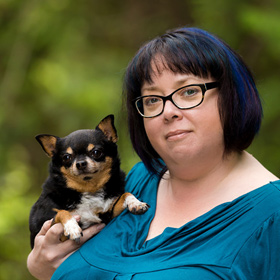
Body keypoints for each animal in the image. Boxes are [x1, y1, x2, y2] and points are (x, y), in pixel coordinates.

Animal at [29, 115, 150, 248]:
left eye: (96, 152)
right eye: (66, 157)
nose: (80, 163)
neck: (89, 189)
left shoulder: (108, 216)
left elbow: (125, 194)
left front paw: (136, 203)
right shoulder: (49, 225)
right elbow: (61, 212)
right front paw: (72, 227)